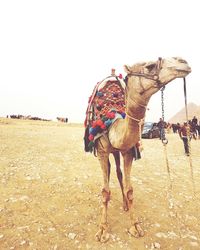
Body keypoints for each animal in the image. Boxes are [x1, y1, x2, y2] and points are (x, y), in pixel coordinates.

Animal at [88, 57, 191, 242]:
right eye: (149, 66)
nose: (183, 61)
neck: (112, 121)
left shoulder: (127, 151)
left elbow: (129, 190)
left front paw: (135, 226)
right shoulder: (102, 152)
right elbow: (105, 191)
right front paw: (102, 230)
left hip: (117, 151)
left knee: (118, 173)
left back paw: (124, 205)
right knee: (111, 172)